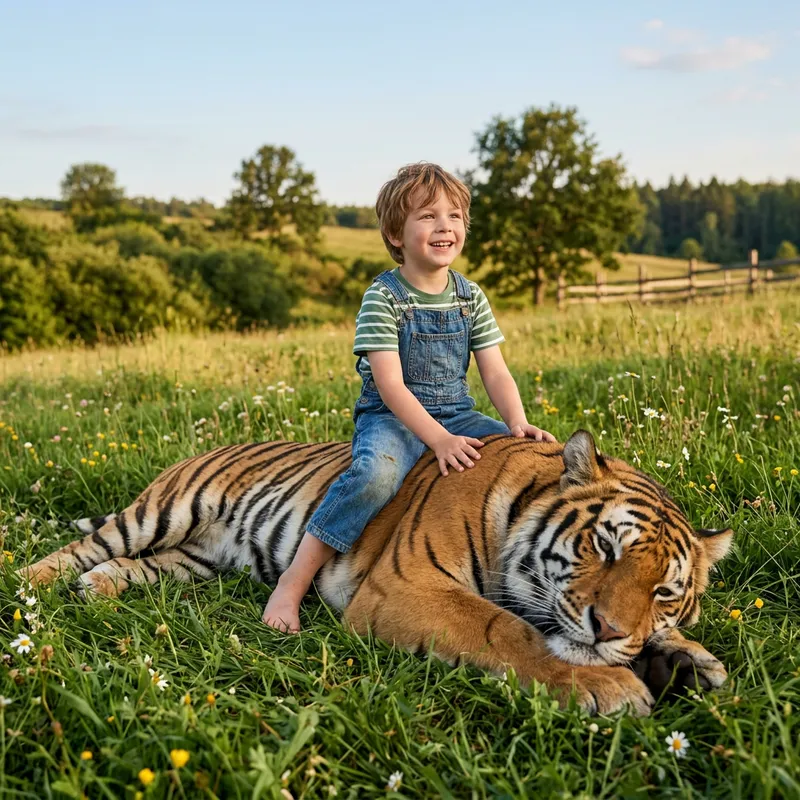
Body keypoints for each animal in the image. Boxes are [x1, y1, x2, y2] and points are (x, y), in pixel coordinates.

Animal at [18, 429, 732, 716]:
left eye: (664, 591)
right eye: (605, 547)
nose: (608, 629)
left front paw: (689, 661)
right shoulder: (408, 587)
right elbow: (506, 630)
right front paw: (610, 686)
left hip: (196, 559)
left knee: (136, 567)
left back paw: (101, 588)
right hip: (164, 511)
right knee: (84, 546)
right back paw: (32, 584)